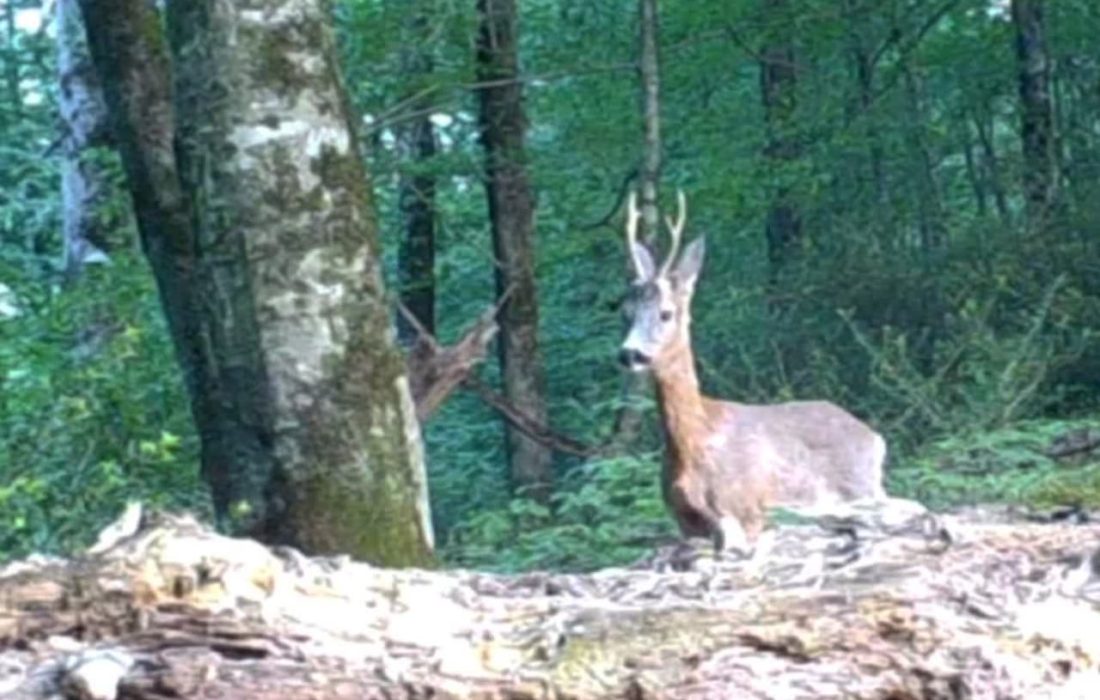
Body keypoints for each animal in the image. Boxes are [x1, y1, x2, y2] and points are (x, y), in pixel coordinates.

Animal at [620, 190, 884, 552]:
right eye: (625, 312)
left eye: (665, 313)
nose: (630, 353)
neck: (694, 442)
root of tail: (875, 438)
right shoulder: (685, 521)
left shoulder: (745, 510)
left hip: (860, 490)